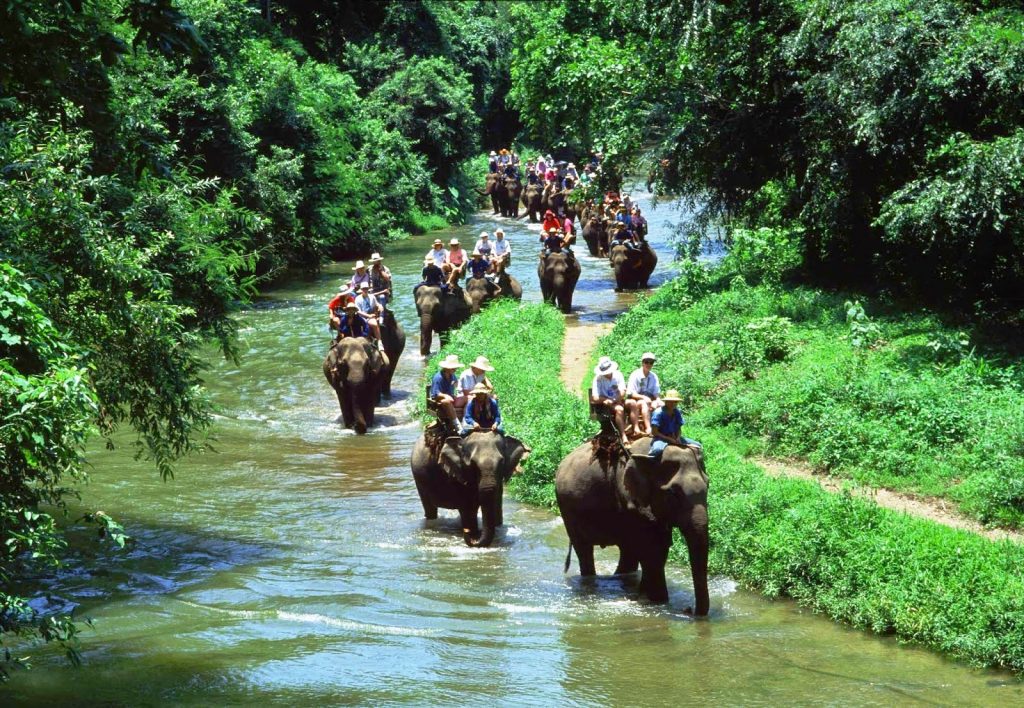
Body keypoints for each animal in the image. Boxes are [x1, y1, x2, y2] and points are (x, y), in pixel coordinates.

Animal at [557, 438, 708, 614]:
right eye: (673, 493)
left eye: (708, 486)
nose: (688, 609)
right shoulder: (629, 497)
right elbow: (652, 548)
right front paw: (656, 602)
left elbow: (659, 546)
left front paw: (649, 599)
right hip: (568, 510)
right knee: (584, 550)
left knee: (627, 550)